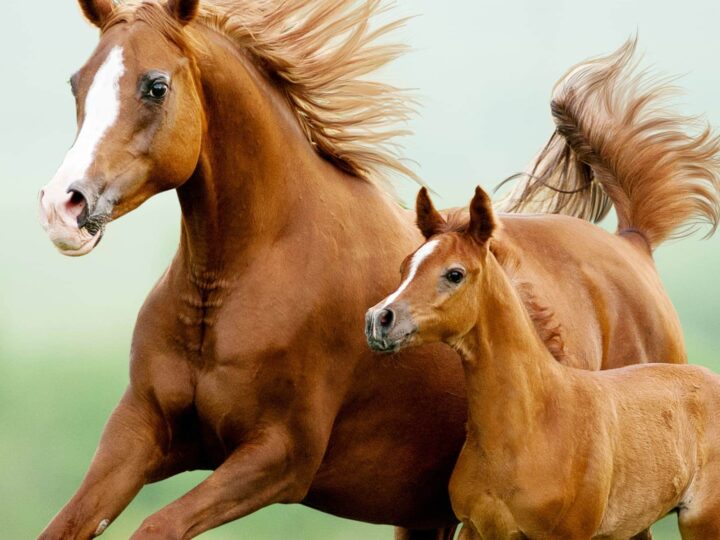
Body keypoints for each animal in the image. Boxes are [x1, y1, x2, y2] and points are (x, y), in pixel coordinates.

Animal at [366, 186, 720, 539]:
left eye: (455, 274)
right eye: (405, 266)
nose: (378, 320)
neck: (533, 425)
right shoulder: (476, 528)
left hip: (702, 521)